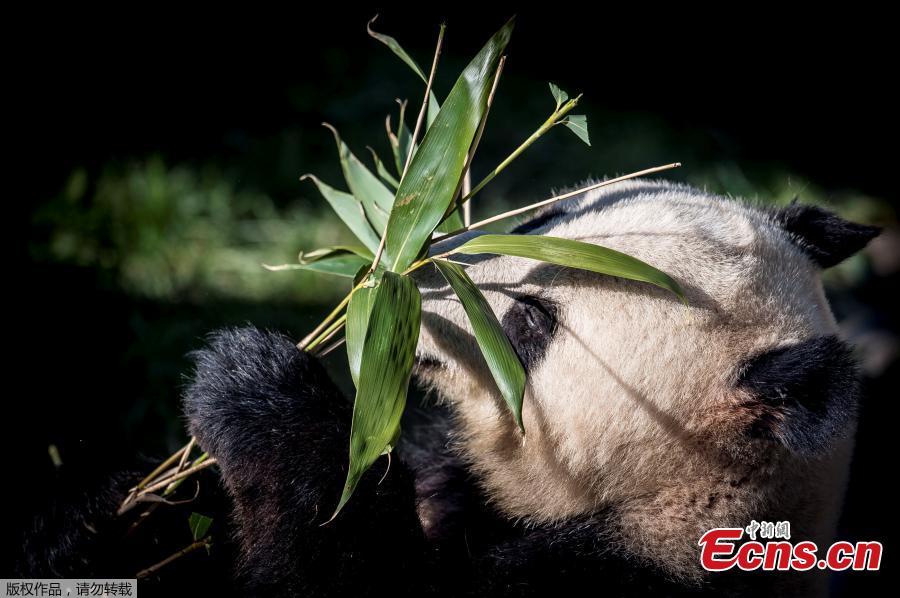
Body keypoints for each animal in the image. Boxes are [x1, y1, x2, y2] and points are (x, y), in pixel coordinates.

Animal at [8, 179, 880, 598]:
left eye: (530, 322)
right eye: (541, 220)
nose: (411, 273)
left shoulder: (616, 576)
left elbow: (338, 572)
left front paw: (254, 387)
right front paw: (108, 513)